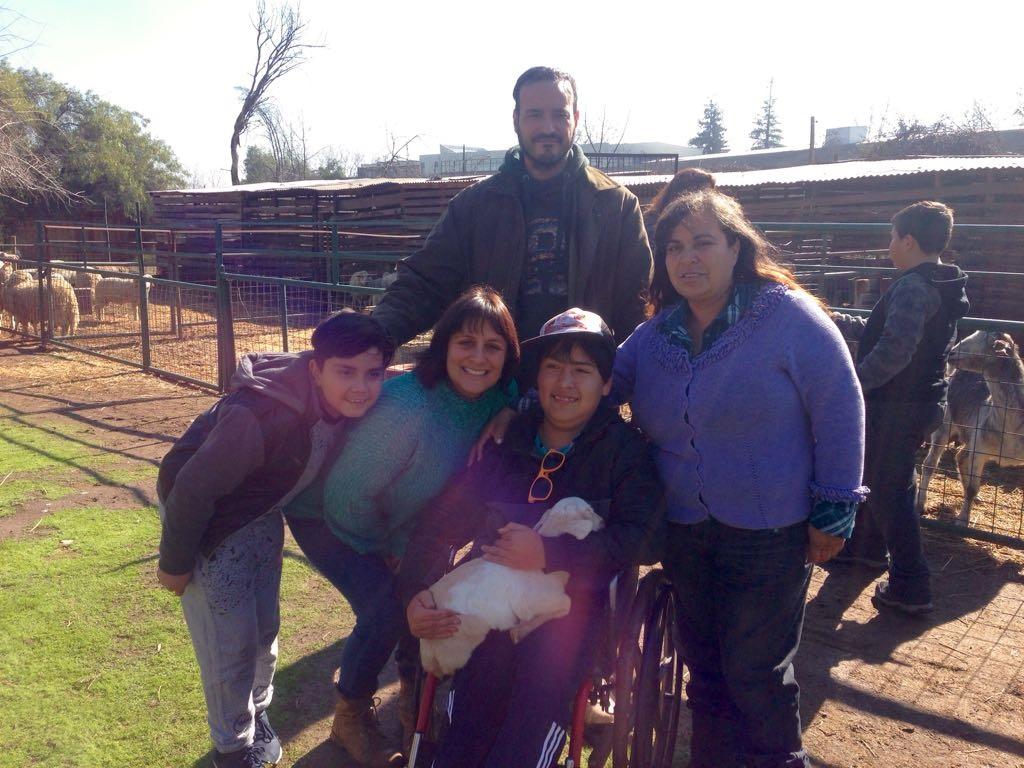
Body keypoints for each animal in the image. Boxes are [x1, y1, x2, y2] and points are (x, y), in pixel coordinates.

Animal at [419, 495, 602, 675]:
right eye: (589, 511)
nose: (603, 523)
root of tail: (427, 656)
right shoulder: (536, 601)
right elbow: (567, 604)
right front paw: (520, 631)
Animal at [917, 333, 1024, 528]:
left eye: (988, 342)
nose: (951, 353)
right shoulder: (979, 451)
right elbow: (972, 488)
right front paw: (962, 520)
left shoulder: (977, 444)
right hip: (945, 426)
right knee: (930, 464)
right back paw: (921, 503)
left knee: (960, 457)